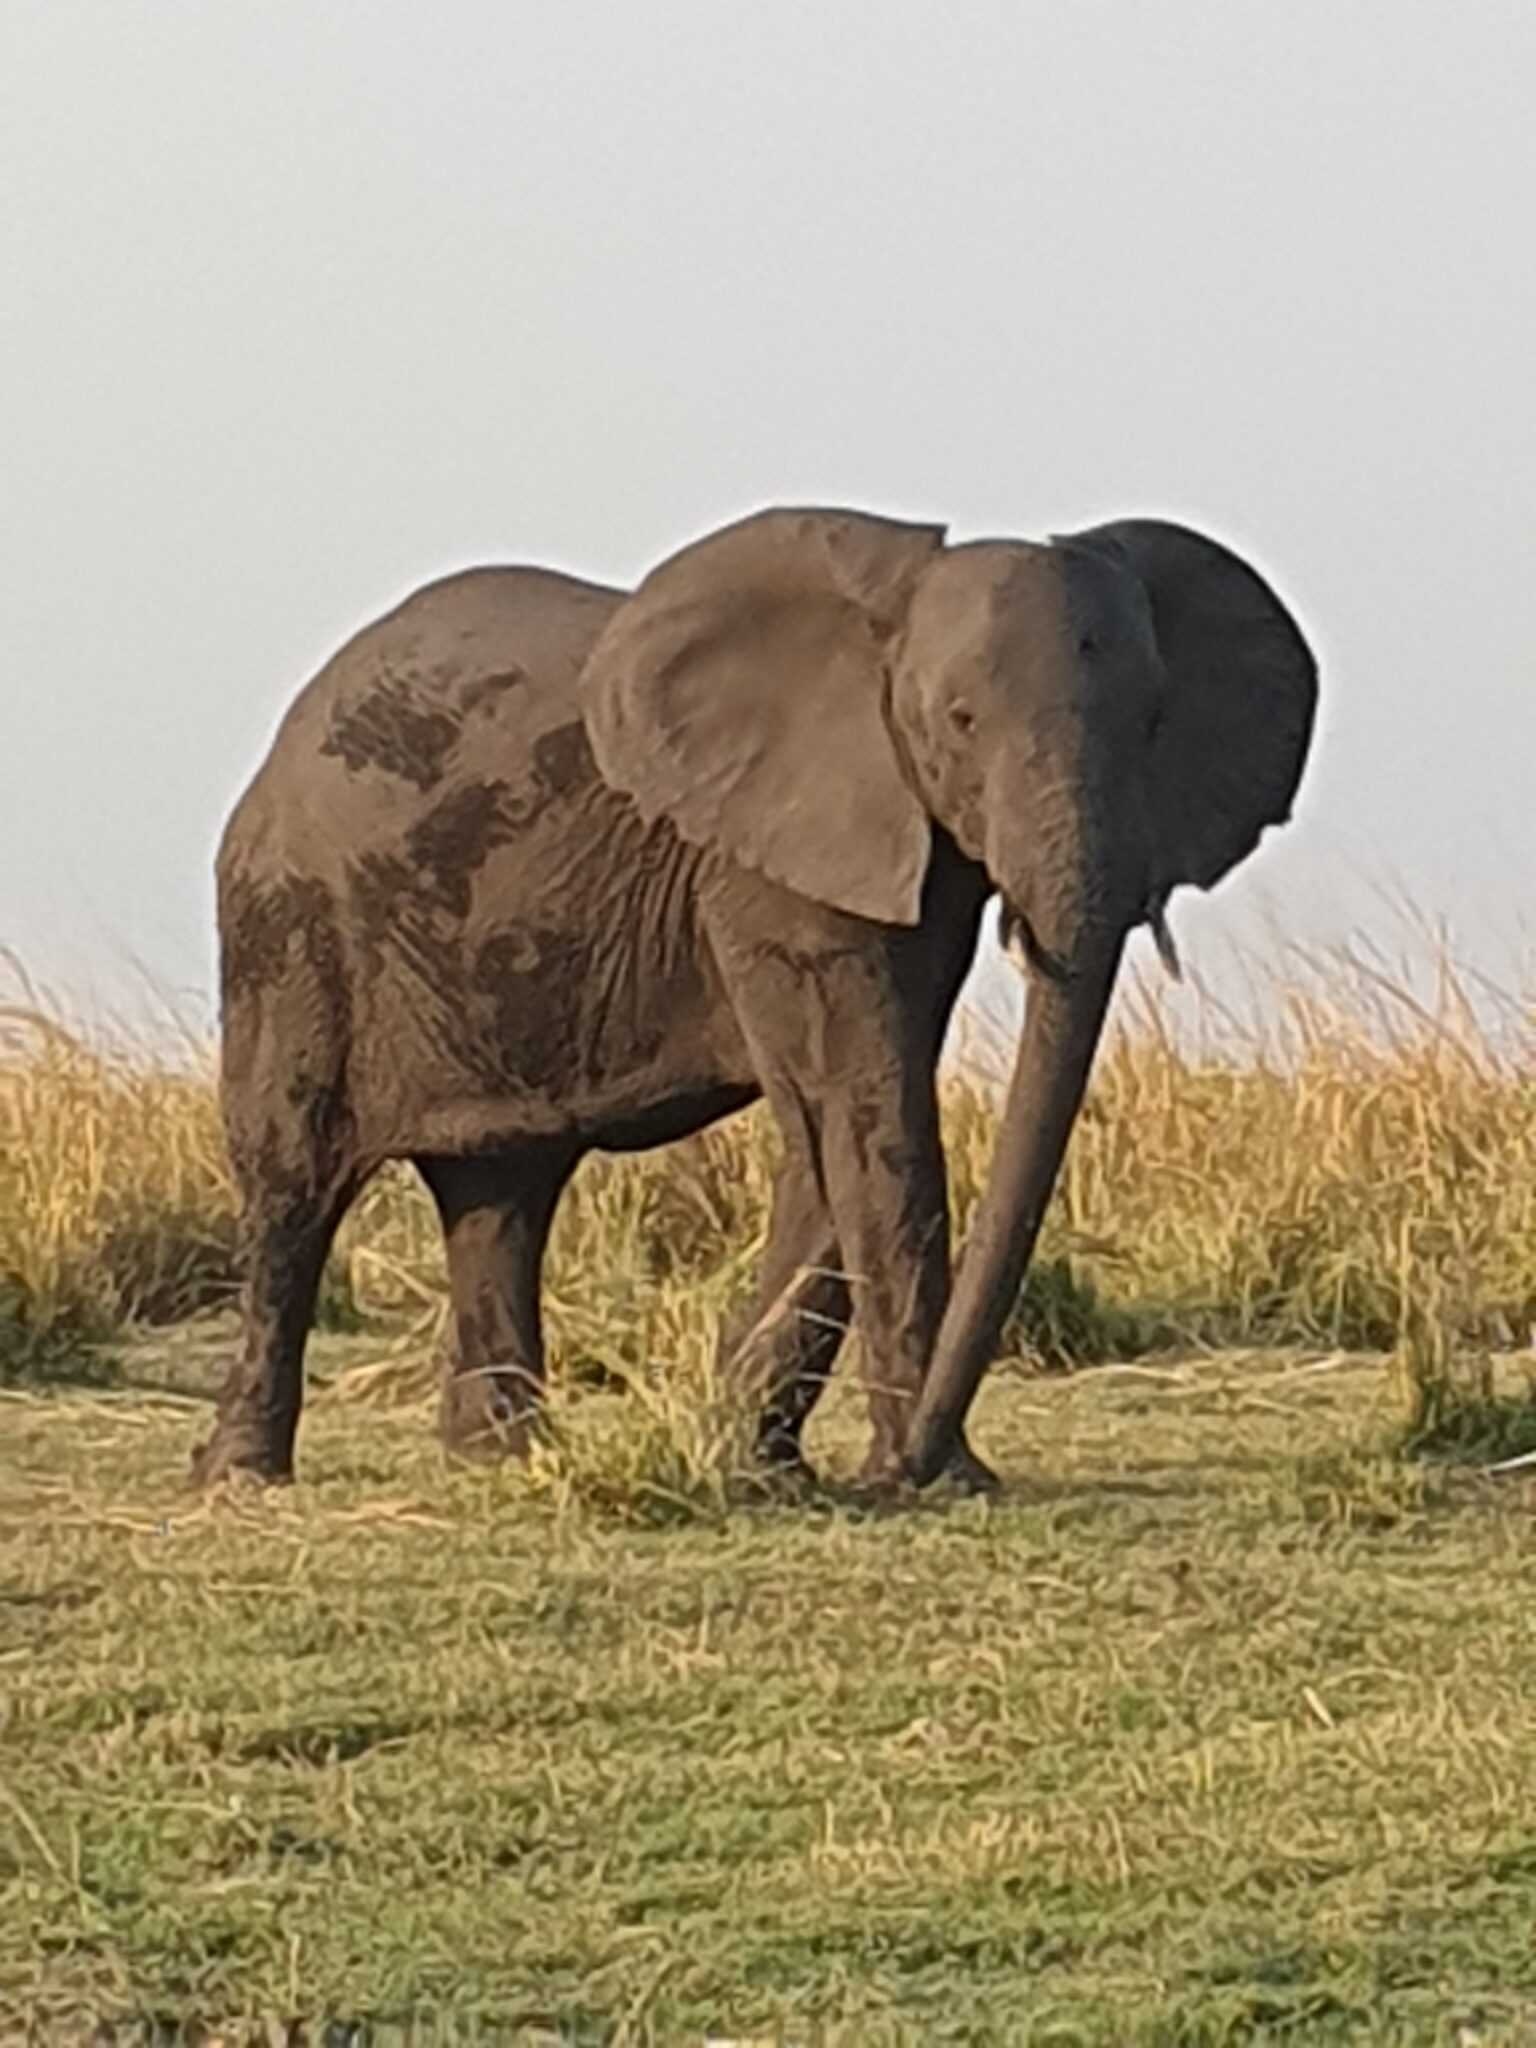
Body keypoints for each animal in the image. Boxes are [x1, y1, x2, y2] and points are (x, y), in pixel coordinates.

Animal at [195, 505, 1316, 1493]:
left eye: (1159, 723)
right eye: (958, 722)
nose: (916, 1461)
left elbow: (838, 1129)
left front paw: (753, 1453)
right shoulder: (773, 859)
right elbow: (865, 1111)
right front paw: (922, 1477)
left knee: (505, 1189)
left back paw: (506, 1459)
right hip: (290, 928)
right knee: (295, 1180)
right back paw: (243, 1477)